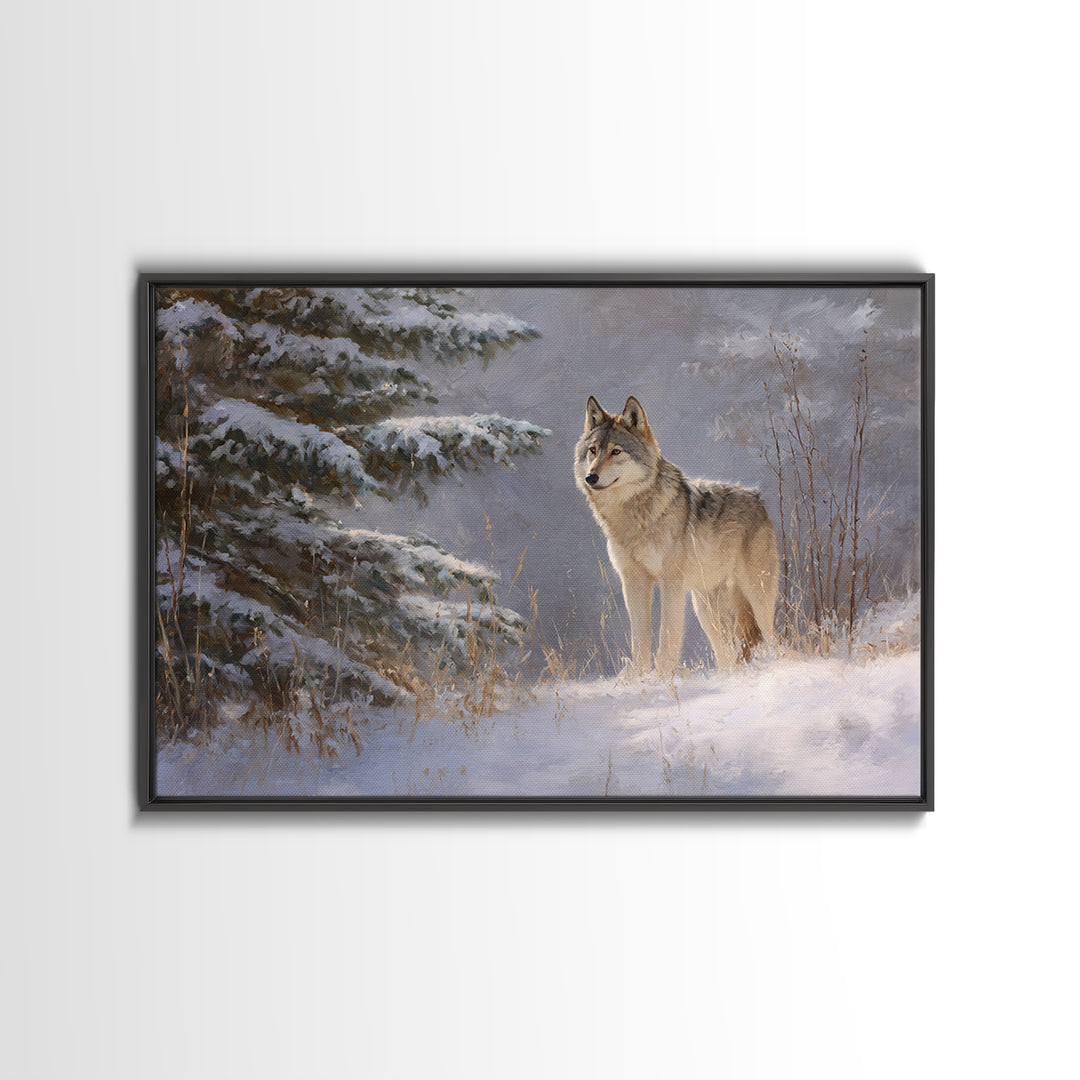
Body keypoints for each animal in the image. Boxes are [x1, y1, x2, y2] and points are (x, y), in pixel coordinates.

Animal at [574, 396, 779, 674]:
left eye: (616, 451)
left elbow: (667, 638)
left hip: (757, 596)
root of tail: (758, 499)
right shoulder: (633, 582)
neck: (635, 517)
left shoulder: (671, 584)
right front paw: (641, 678)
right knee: (726, 652)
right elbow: (639, 642)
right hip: (705, 609)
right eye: (593, 451)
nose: (591, 477)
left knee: (773, 638)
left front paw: (663, 677)